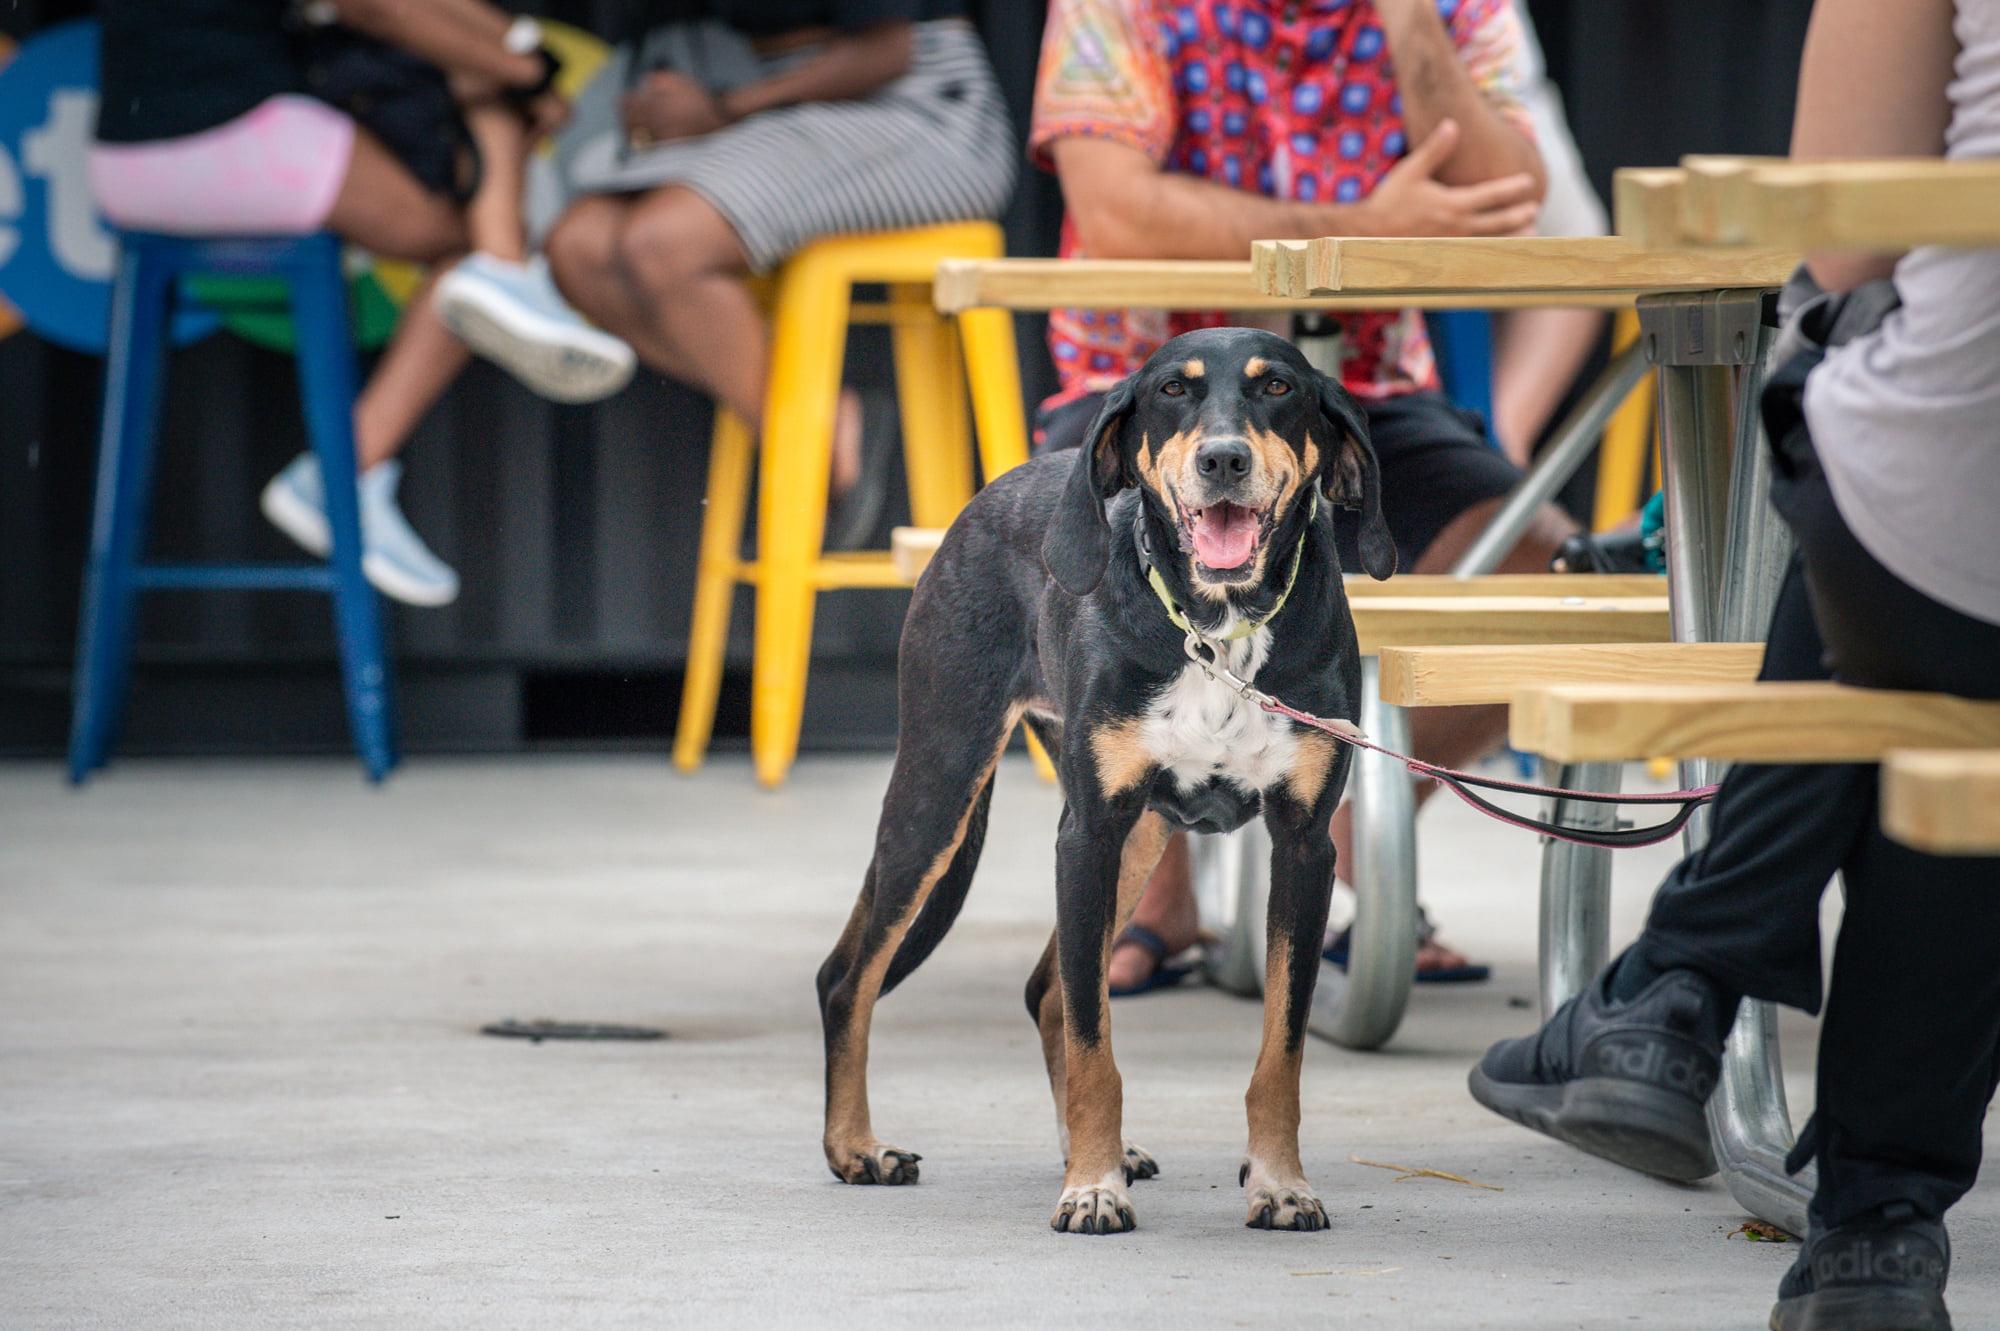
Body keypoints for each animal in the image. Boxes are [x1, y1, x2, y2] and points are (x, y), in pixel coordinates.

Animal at [812, 323, 1392, 1231]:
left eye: (1277, 388)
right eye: (1172, 390)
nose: (1223, 458)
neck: (1218, 627)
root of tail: (987, 496)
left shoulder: (1304, 846)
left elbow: (1281, 1049)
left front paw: (1279, 1181)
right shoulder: (1085, 836)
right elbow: (1095, 1042)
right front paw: (1090, 1186)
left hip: (1142, 836)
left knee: (1047, 989)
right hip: (939, 789)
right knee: (849, 978)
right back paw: (856, 1147)